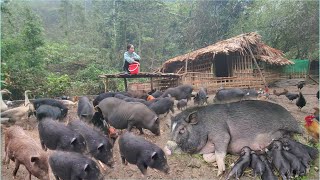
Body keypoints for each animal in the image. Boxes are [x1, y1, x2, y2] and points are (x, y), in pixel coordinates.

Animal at [169, 100, 302, 176]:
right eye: (170, 128)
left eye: (182, 129)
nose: (168, 145)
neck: (204, 125)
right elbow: (207, 157)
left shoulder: (221, 133)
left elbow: (221, 150)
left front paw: (220, 172)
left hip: (292, 124)